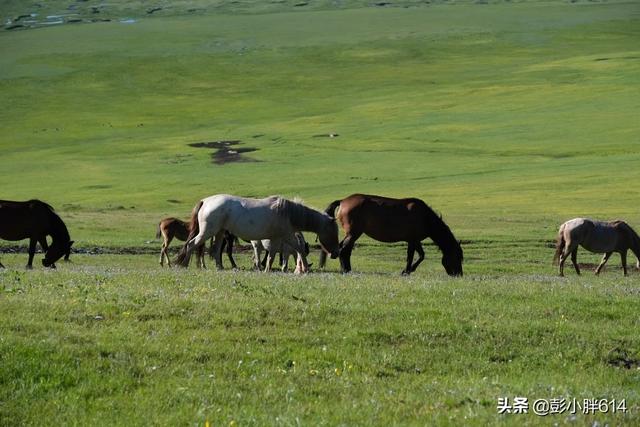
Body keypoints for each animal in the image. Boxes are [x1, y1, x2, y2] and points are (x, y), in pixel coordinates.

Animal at [172, 195, 338, 270]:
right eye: (333, 232)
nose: (335, 254)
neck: (287, 213)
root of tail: (205, 201)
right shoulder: (286, 236)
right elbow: (298, 249)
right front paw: (305, 269)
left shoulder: (276, 239)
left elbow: (272, 255)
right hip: (208, 232)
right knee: (191, 244)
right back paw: (184, 265)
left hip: (219, 232)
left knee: (216, 250)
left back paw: (220, 268)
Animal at [318, 195, 462, 278]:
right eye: (457, 257)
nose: (459, 274)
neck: (424, 217)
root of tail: (343, 201)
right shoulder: (412, 240)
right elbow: (413, 257)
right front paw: (407, 271)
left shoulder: (414, 240)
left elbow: (419, 255)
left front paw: (409, 270)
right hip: (354, 233)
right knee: (343, 250)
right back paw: (345, 270)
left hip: (354, 234)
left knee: (345, 250)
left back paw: (347, 269)